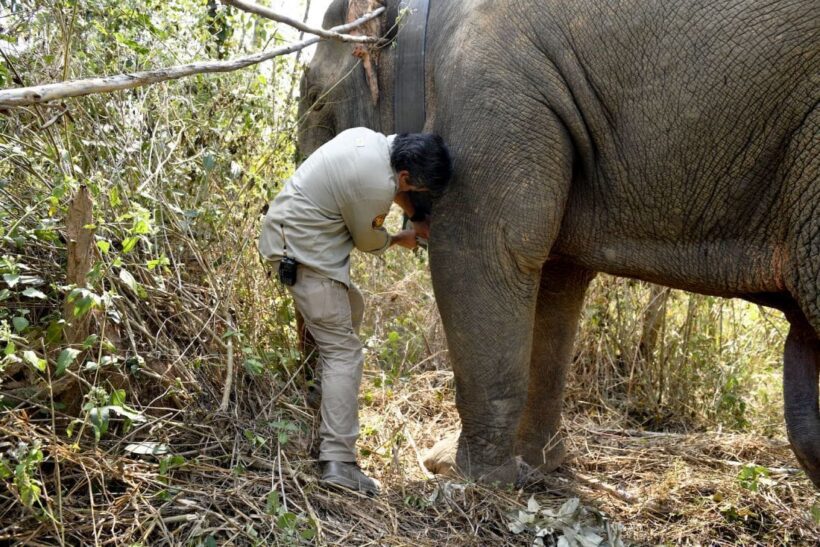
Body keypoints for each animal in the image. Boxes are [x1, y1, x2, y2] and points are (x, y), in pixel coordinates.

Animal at [300, 0, 820, 488]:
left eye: (315, 101)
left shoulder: (490, 93)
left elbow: (484, 251)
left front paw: (465, 477)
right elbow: (556, 280)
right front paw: (533, 467)